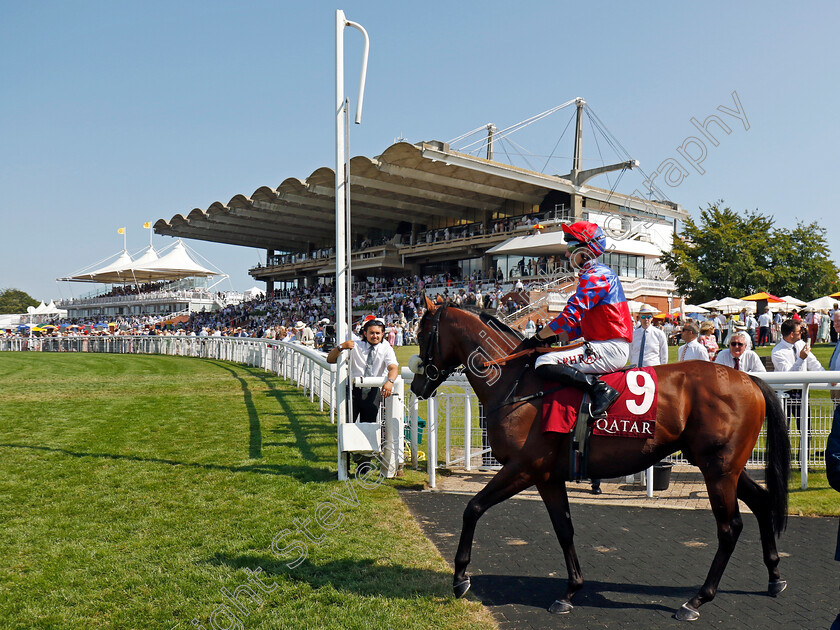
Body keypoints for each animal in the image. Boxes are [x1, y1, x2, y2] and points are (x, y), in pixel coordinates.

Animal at [410, 300, 792, 624]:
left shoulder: (523, 468)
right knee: (761, 502)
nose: (417, 385)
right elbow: (563, 528)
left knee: (729, 528)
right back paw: (774, 577)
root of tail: (749, 379)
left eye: (422, 335)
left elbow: (472, 508)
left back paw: (697, 599)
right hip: (723, 466)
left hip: (718, 470)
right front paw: (570, 591)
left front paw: (460, 577)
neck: (517, 383)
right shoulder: (547, 476)